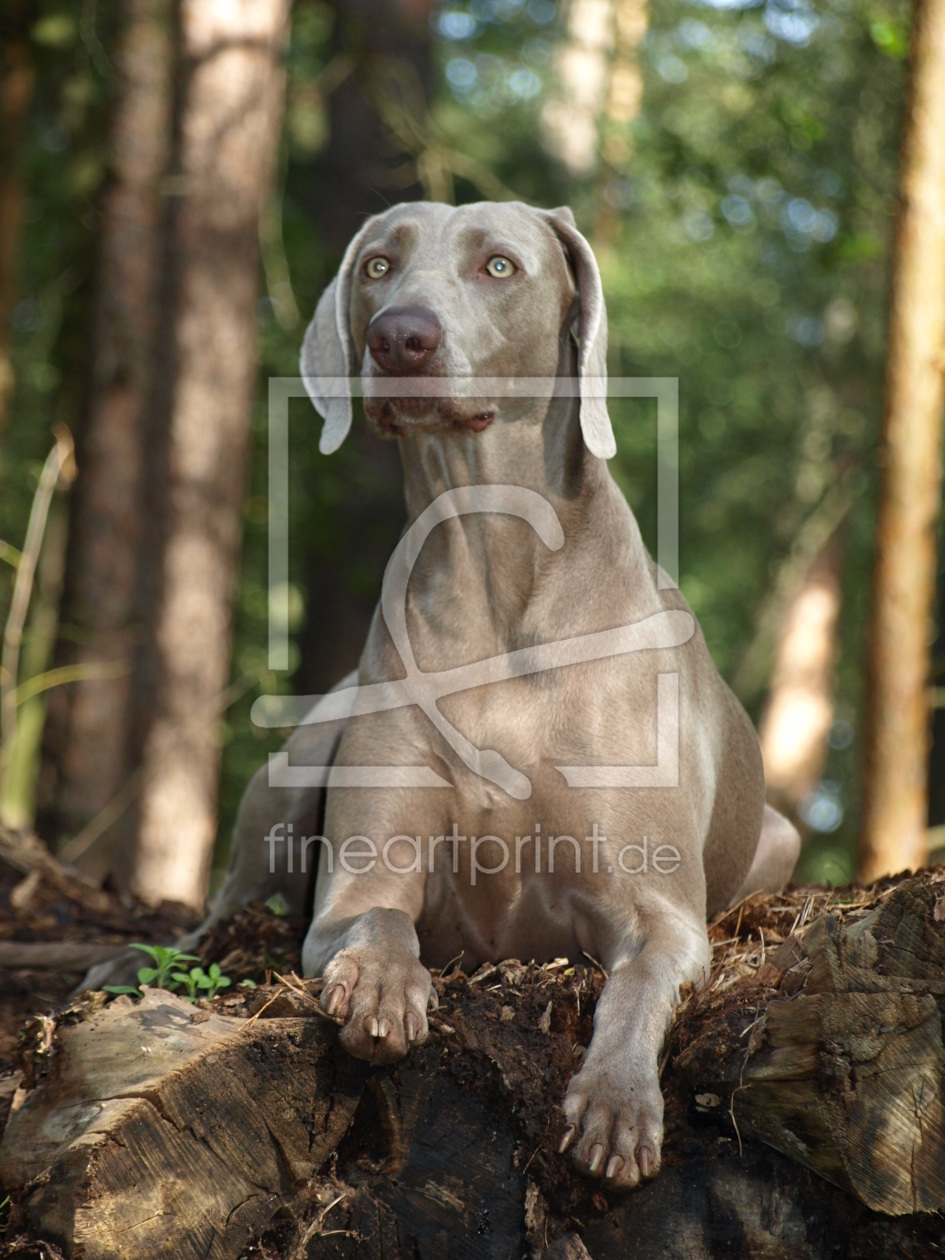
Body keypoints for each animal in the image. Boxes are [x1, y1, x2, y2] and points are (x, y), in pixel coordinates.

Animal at [90, 199, 801, 1189]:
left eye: (499, 266)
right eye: (378, 266)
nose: (399, 338)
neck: (491, 559)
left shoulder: (659, 912)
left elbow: (637, 982)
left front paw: (617, 1105)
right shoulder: (357, 881)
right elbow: (380, 917)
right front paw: (382, 988)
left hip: (779, 838)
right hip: (298, 765)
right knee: (220, 917)